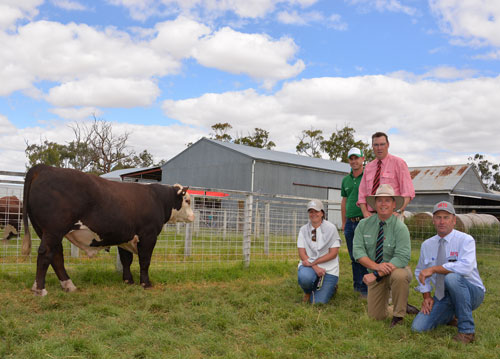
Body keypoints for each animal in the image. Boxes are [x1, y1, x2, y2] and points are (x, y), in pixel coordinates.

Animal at [23, 165, 195, 296]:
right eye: (187, 200)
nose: (193, 216)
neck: (157, 199)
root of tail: (45, 168)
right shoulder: (148, 236)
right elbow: (145, 261)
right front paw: (145, 283)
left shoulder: (125, 236)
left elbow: (126, 260)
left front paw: (128, 280)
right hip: (54, 230)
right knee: (46, 254)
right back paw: (40, 289)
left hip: (45, 231)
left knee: (56, 256)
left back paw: (68, 285)